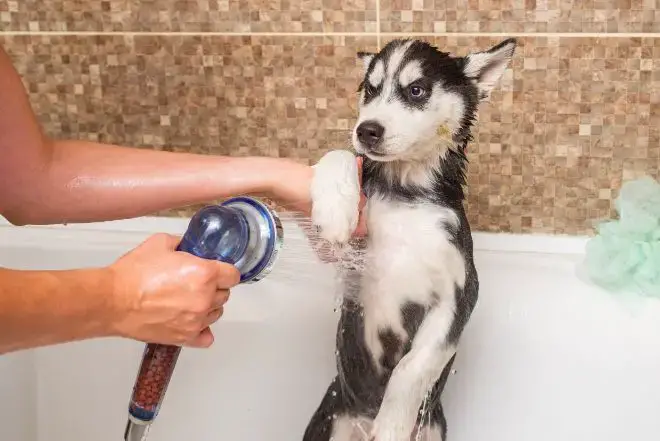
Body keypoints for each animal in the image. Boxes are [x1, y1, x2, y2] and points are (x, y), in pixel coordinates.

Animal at [304, 38, 516, 440]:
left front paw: (391, 425)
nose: (366, 130)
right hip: (329, 419)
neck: (406, 192)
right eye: (370, 90)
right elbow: (340, 156)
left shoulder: (459, 295)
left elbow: (412, 367)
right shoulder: (347, 261)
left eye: (416, 90)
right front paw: (334, 207)